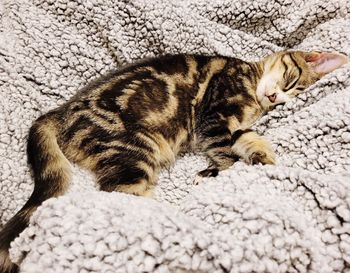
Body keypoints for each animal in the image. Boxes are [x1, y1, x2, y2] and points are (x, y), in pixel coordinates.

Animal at [0, 50, 348, 270]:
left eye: (293, 94)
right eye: (291, 82)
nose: (276, 98)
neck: (251, 85)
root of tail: (61, 113)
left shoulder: (230, 124)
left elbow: (246, 139)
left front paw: (262, 156)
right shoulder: (214, 118)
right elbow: (226, 153)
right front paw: (216, 173)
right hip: (135, 152)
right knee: (120, 197)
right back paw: (172, 219)